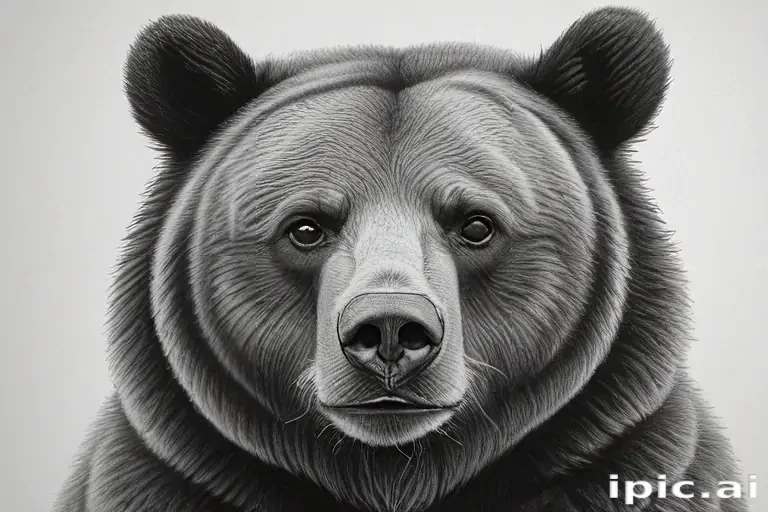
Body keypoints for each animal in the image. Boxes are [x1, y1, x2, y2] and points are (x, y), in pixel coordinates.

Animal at [53, 7, 748, 512]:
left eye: (476, 224)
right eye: (306, 227)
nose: (390, 329)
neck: (394, 474)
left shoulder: (632, 468)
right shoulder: (165, 482)